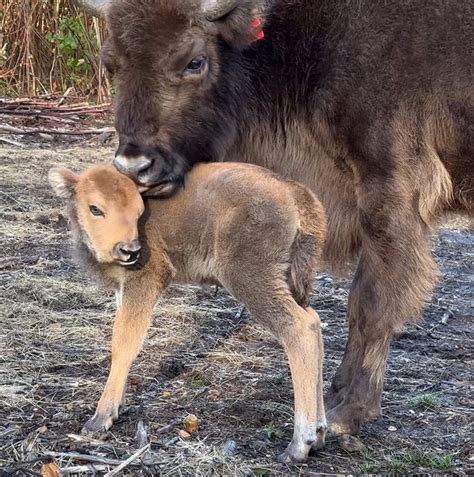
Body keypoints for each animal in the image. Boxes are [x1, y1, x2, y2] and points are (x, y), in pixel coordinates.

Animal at [50, 161, 328, 462]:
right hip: (289, 280)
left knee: (298, 329)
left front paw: (101, 419)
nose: (129, 250)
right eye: (95, 208)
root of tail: (294, 191)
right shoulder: (124, 289)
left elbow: (124, 343)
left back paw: (299, 445)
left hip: (252, 278)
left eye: (138, 211)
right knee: (314, 322)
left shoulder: (147, 279)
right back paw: (320, 433)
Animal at [76, 0, 472, 438]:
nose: (135, 166)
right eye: (111, 63)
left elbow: (371, 302)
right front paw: (332, 393)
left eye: (195, 61)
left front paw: (347, 412)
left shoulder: (388, 193)